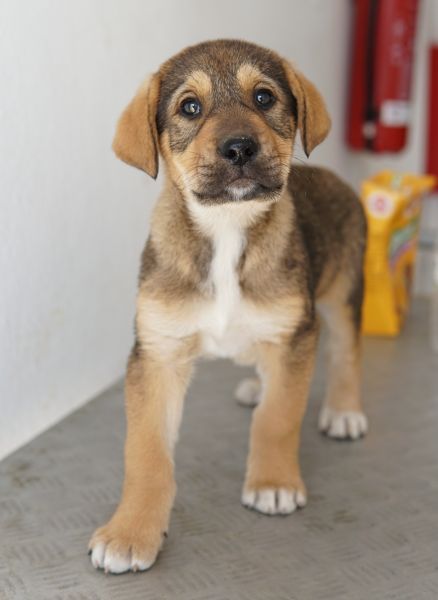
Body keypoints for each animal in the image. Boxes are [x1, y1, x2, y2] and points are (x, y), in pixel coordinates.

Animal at [89, 39, 367, 574]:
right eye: (189, 108)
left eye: (264, 97)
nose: (239, 148)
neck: (227, 229)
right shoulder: (156, 355)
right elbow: (146, 453)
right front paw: (130, 531)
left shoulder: (292, 333)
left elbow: (279, 419)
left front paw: (273, 483)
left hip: (343, 290)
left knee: (346, 352)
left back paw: (343, 410)